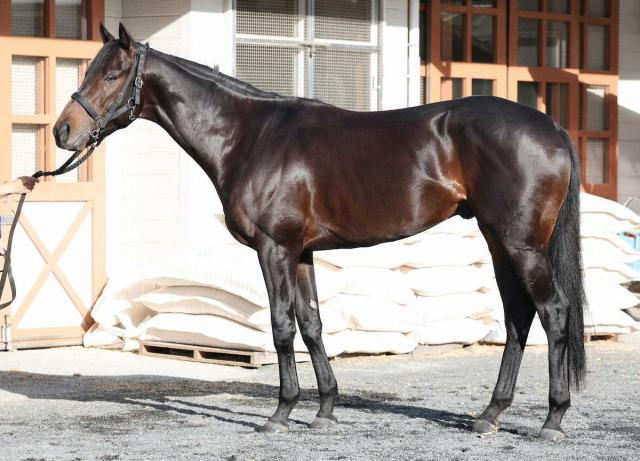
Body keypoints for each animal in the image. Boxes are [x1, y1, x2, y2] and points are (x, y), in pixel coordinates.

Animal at [54, 23, 586, 442]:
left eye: (112, 74)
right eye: (89, 70)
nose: (62, 131)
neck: (249, 136)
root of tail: (552, 128)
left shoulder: (274, 249)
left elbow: (281, 326)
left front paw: (281, 412)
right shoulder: (302, 252)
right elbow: (311, 324)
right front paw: (325, 410)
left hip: (520, 245)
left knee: (553, 312)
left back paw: (552, 420)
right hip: (500, 243)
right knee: (518, 318)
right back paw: (490, 415)